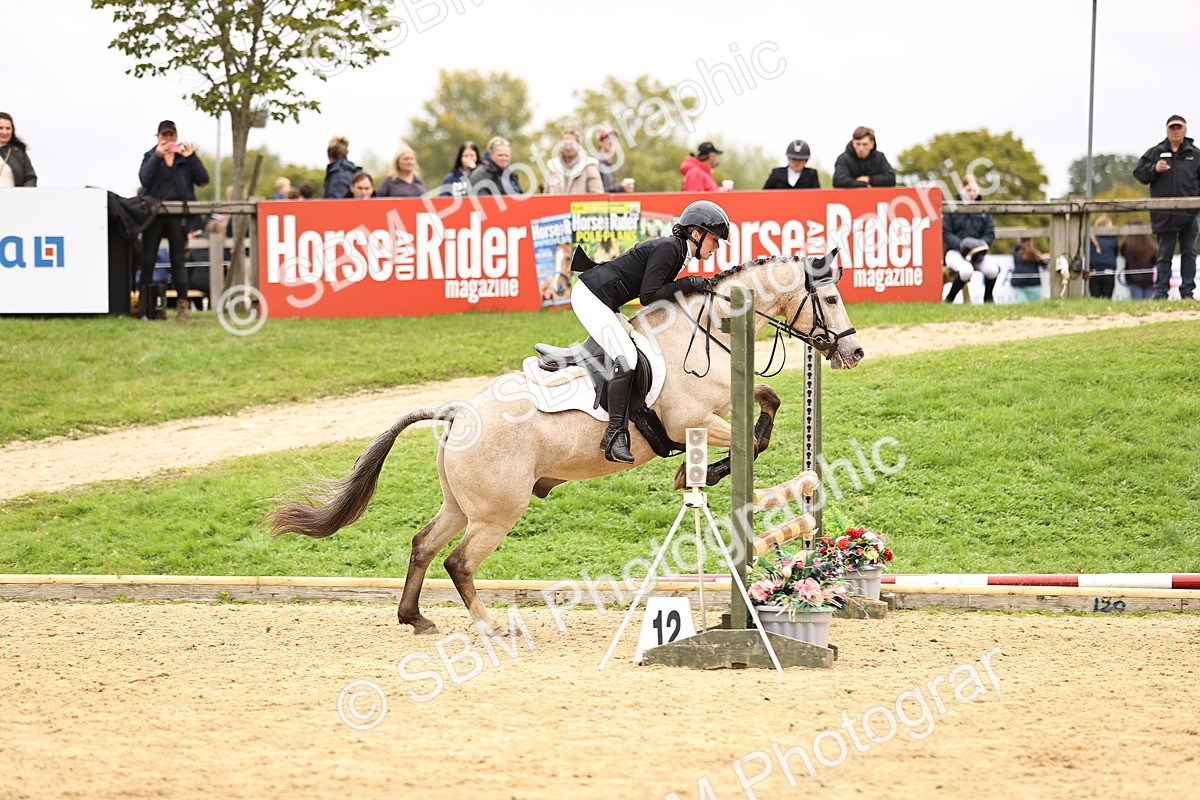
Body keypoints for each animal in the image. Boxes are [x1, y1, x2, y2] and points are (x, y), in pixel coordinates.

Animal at [267, 253, 865, 636]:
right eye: (832, 297)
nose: (853, 353)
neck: (708, 326)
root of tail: (457, 412)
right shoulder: (692, 420)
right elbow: (748, 437)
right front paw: (698, 474)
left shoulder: (722, 402)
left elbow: (769, 399)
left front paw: (706, 470)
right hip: (498, 512)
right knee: (459, 562)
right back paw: (489, 625)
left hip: (463, 505)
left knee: (422, 544)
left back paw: (415, 618)